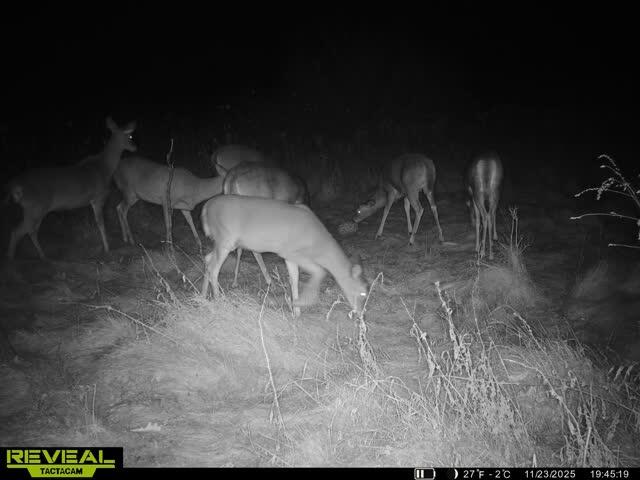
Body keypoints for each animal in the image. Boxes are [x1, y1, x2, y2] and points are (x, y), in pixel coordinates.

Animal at [5, 117, 137, 259]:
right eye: (130, 136)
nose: (135, 147)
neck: (105, 168)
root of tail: (15, 186)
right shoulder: (98, 197)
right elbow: (101, 223)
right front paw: (107, 249)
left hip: (35, 209)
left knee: (30, 230)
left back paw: (40, 256)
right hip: (35, 207)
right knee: (18, 231)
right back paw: (17, 258)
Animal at [200, 195, 367, 317]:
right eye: (363, 292)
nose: (361, 314)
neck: (318, 243)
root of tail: (206, 208)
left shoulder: (289, 256)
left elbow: (294, 279)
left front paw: (296, 310)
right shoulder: (291, 252)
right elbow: (320, 271)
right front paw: (302, 303)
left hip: (221, 241)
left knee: (207, 259)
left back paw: (202, 296)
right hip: (225, 239)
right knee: (214, 268)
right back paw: (218, 301)